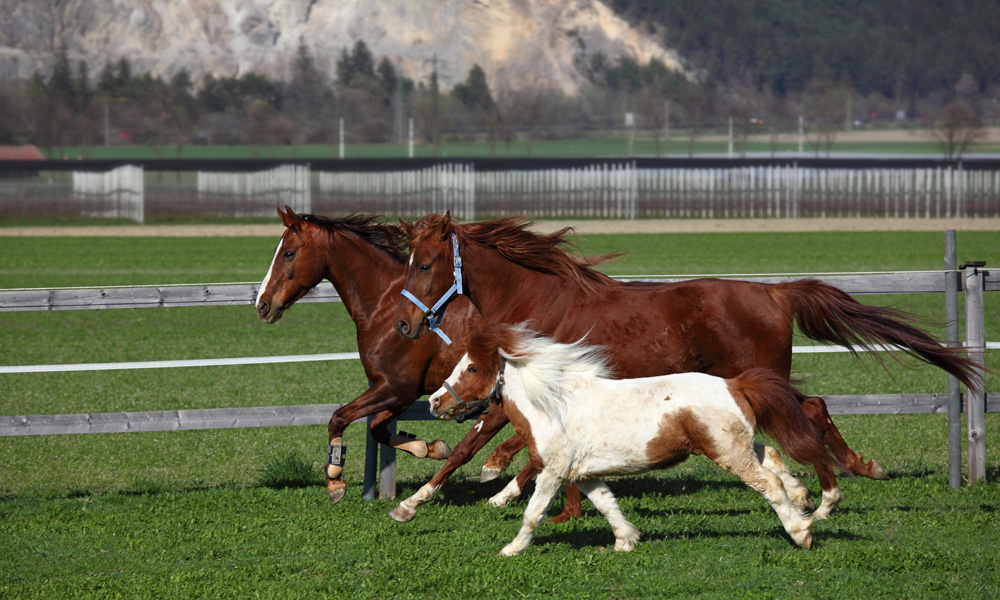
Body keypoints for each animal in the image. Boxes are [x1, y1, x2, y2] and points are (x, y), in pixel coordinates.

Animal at [256, 206, 532, 506]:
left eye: (288, 253)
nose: (262, 305)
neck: (384, 307)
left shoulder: (397, 387)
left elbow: (339, 417)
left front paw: (335, 480)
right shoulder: (401, 393)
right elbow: (377, 429)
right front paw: (430, 447)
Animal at [394, 213, 980, 524]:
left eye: (425, 265)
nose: (403, 322)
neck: (537, 301)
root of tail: (775, 291)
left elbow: (482, 444)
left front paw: (452, 492)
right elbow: (489, 443)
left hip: (760, 374)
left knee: (808, 411)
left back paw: (829, 490)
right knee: (811, 410)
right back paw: (841, 478)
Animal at [430, 326, 844, 556]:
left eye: (471, 368)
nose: (436, 401)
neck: (552, 407)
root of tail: (735, 383)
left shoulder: (553, 473)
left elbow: (533, 512)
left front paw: (511, 549)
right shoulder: (585, 474)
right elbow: (608, 505)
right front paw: (625, 541)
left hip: (728, 453)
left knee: (769, 485)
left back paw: (801, 532)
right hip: (738, 446)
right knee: (772, 456)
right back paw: (805, 502)